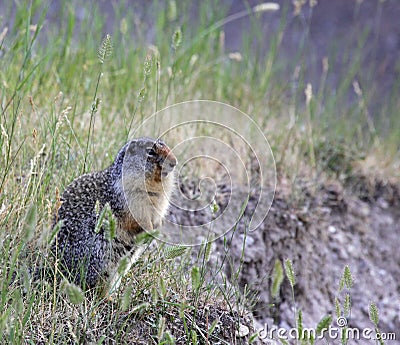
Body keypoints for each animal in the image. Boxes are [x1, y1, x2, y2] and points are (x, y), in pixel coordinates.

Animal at [51, 137, 177, 296]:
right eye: (150, 152)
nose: (174, 162)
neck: (155, 184)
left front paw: (157, 227)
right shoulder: (130, 201)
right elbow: (137, 219)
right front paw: (149, 230)